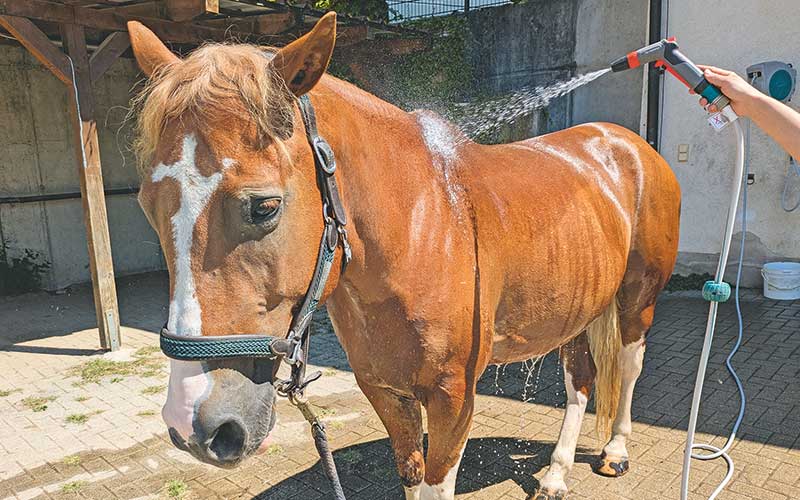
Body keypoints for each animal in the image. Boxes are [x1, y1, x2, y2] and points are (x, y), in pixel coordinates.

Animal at [128, 12, 680, 500]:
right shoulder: (384, 391)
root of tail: (628, 145)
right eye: (147, 206)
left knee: (628, 366)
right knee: (580, 383)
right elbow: (410, 472)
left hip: (636, 301)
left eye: (264, 206)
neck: (420, 230)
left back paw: (615, 452)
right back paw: (556, 476)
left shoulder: (454, 398)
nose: (192, 422)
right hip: (575, 309)